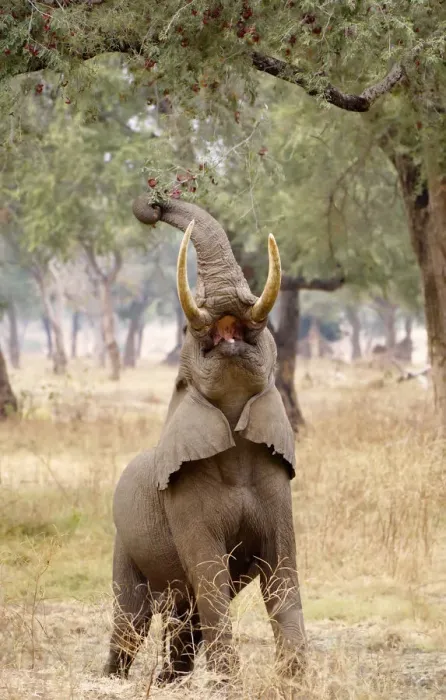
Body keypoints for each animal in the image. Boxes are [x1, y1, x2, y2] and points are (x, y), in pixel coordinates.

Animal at [104, 197, 306, 684]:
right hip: (124, 542)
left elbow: (282, 570)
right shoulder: (183, 500)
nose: (150, 206)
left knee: (184, 614)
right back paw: (113, 678)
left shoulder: (278, 487)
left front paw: (297, 680)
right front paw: (229, 683)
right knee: (132, 618)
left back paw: (168, 681)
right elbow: (209, 573)